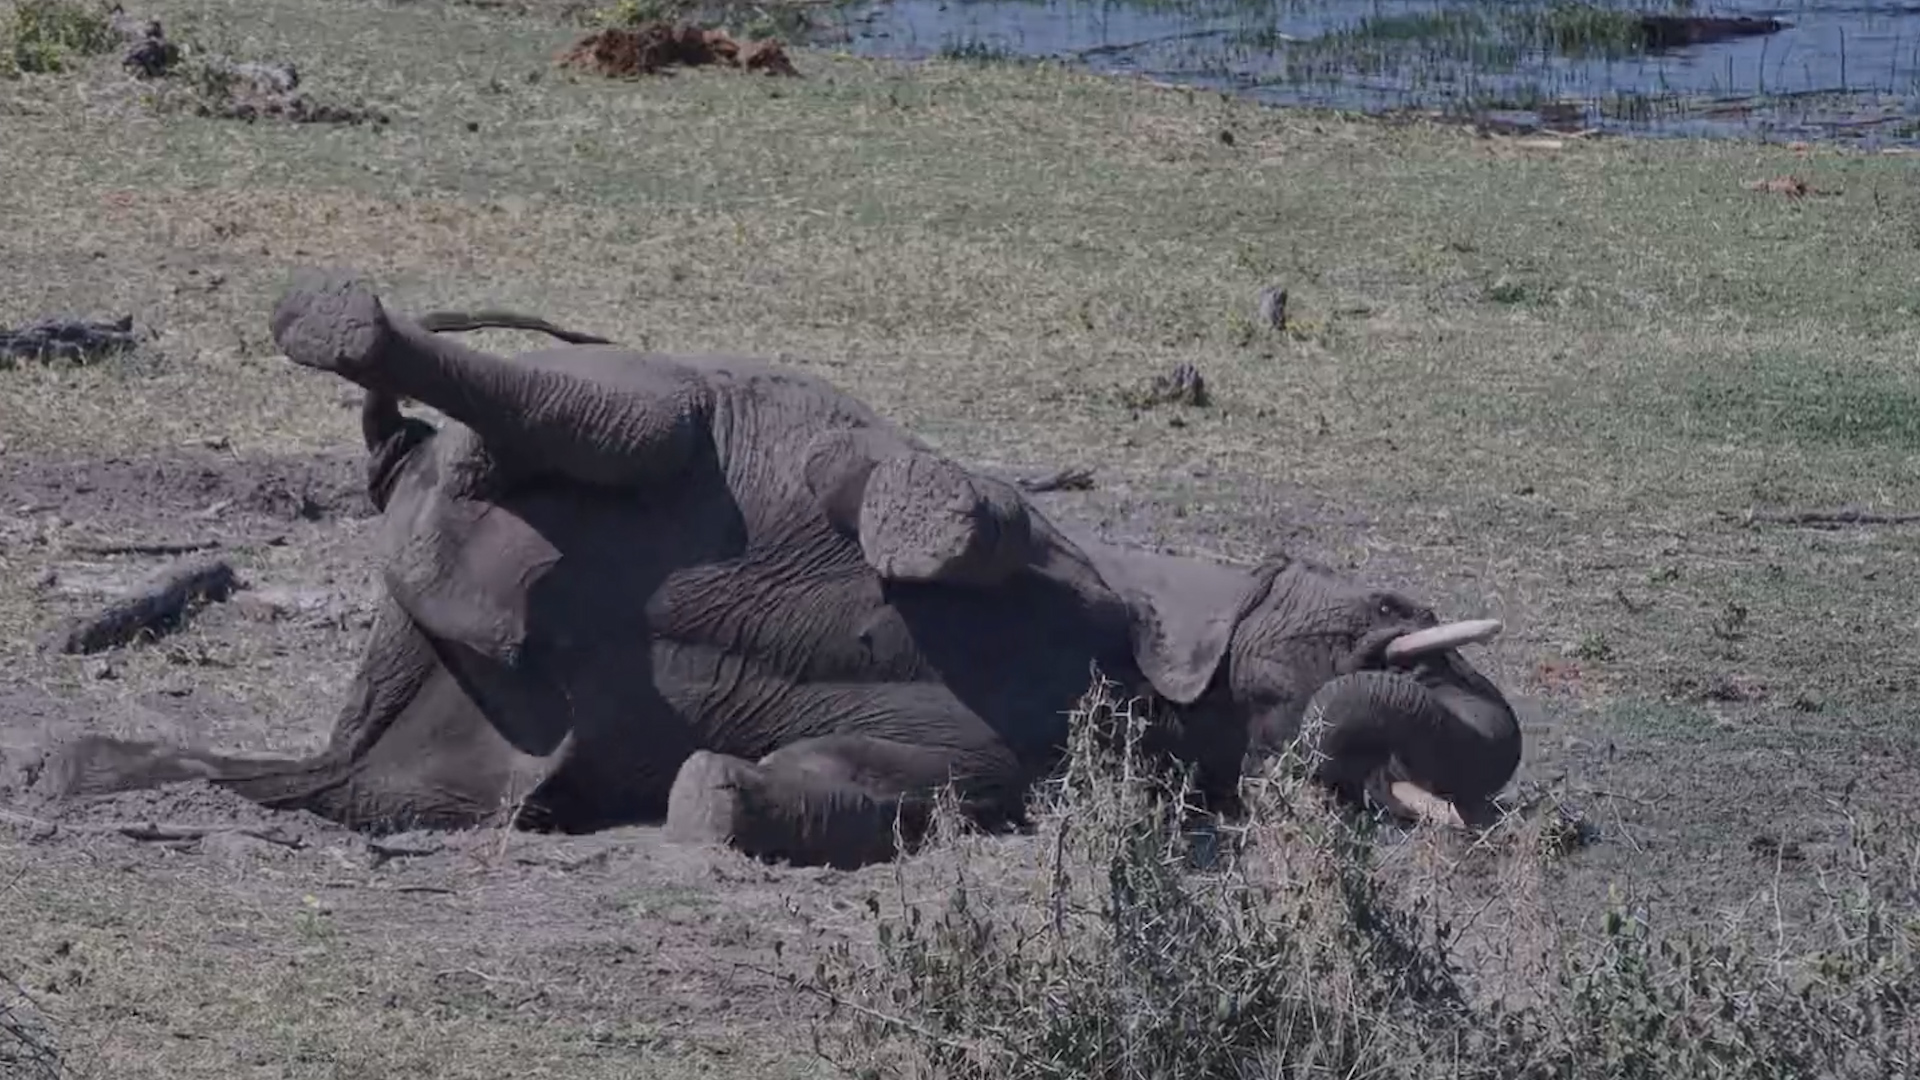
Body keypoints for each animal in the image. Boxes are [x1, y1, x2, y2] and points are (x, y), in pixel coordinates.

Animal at [44, 271, 1522, 869]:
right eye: (1395, 610)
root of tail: (413, 482)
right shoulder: (1099, 570)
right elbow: (967, 510)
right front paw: (927, 521)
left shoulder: (1025, 768)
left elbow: (888, 788)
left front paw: (715, 799)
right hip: (661, 408)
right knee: (621, 416)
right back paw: (335, 324)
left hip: (439, 751)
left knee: (343, 786)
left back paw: (82, 772)